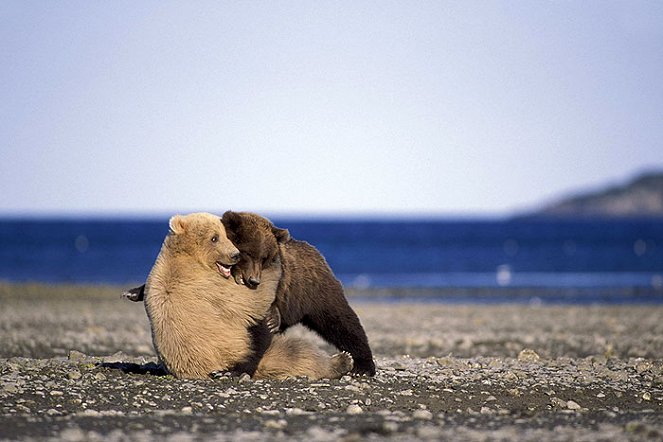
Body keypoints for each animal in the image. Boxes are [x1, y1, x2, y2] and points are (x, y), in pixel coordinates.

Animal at [143, 212, 356, 380]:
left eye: (225, 234)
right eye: (214, 238)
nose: (234, 255)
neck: (187, 257)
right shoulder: (208, 285)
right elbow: (251, 300)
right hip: (239, 349)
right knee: (297, 352)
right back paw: (342, 360)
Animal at [222, 211, 376, 376]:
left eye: (264, 258)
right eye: (248, 253)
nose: (254, 280)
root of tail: (316, 252)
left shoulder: (276, 283)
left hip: (316, 293)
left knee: (342, 322)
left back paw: (362, 365)